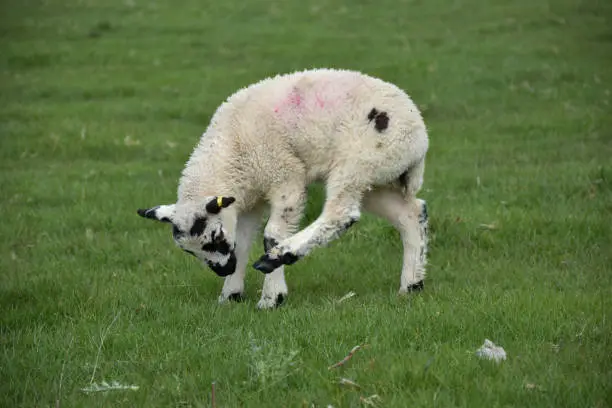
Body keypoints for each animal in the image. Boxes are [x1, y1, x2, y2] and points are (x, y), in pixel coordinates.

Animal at [137, 67, 430, 310]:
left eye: (214, 237)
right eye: (189, 250)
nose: (223, 270)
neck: (230, 155)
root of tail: (420, 140)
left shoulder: (284, 176)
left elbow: (272, 234)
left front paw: (271, 297)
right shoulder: (249, 201)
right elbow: (242, 242)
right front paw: (230, 295)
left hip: (359, 160)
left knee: (341, 214)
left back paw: (280, 255)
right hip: (376, 175)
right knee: (411, 213)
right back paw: (412, 284)